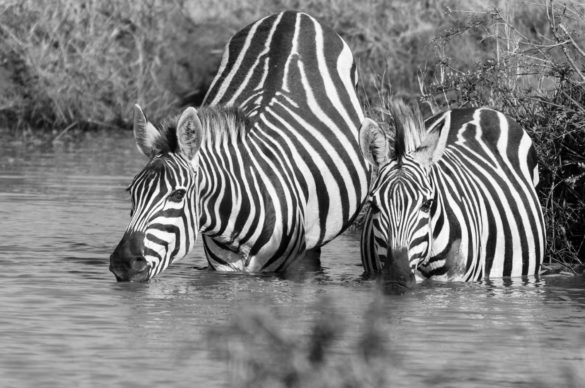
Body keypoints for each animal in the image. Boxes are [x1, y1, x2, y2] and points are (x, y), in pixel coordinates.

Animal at [109, 10, 370, 280]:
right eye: (132, 192)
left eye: (178, 194)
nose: (123, 263)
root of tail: (292, 14)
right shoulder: (225, 269)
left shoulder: (290, 268)